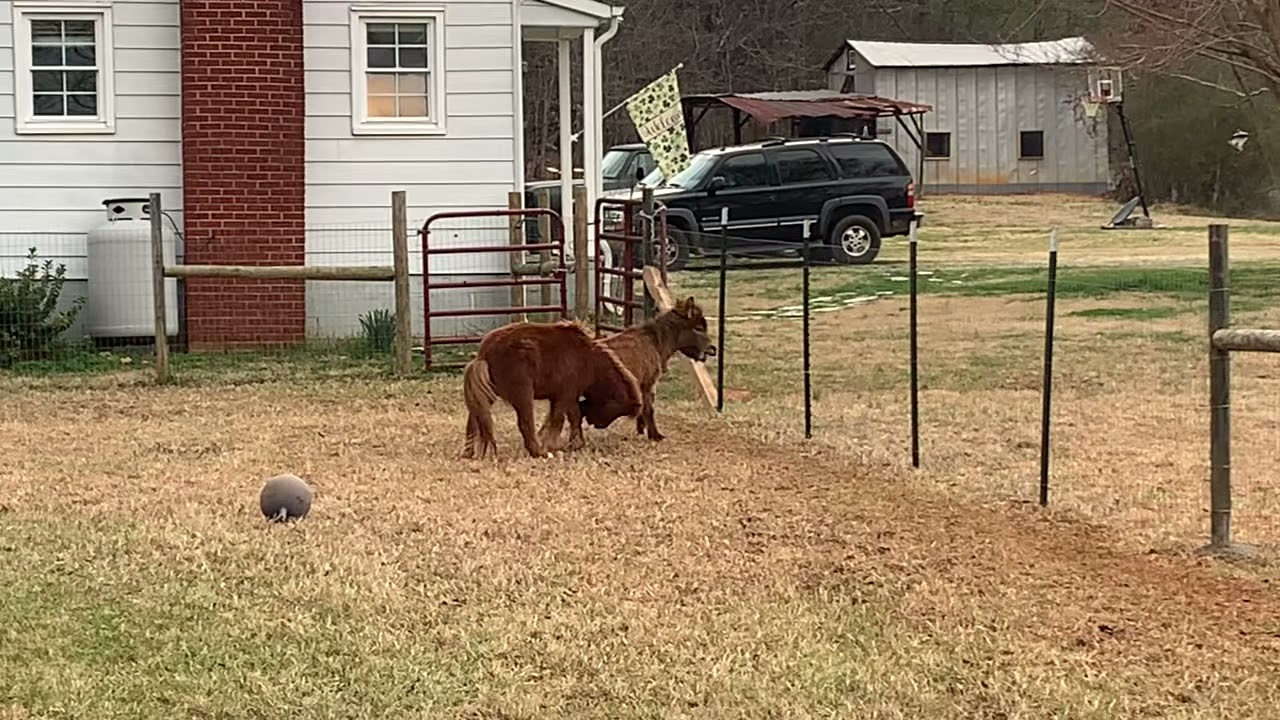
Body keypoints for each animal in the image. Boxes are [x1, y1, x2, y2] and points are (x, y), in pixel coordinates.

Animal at [461, 320, 643, 459]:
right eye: (617, 410)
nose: (595, 424)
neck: (589, 360)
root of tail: (484, 353)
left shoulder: (565, 396)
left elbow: (571, 417)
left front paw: (574, 443)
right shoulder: (565, 395)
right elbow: (560, 419)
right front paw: (553, 445)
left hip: (488, 393)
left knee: (474, 419)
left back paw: (469, 452)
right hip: (523, 394)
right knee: (525, 423)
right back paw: (538, 452)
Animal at [539, 296, 717, 451]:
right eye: (698, 328)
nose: (712, 349)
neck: (654, 342)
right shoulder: (647, 384)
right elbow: (648, 409)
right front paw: (655, 435)